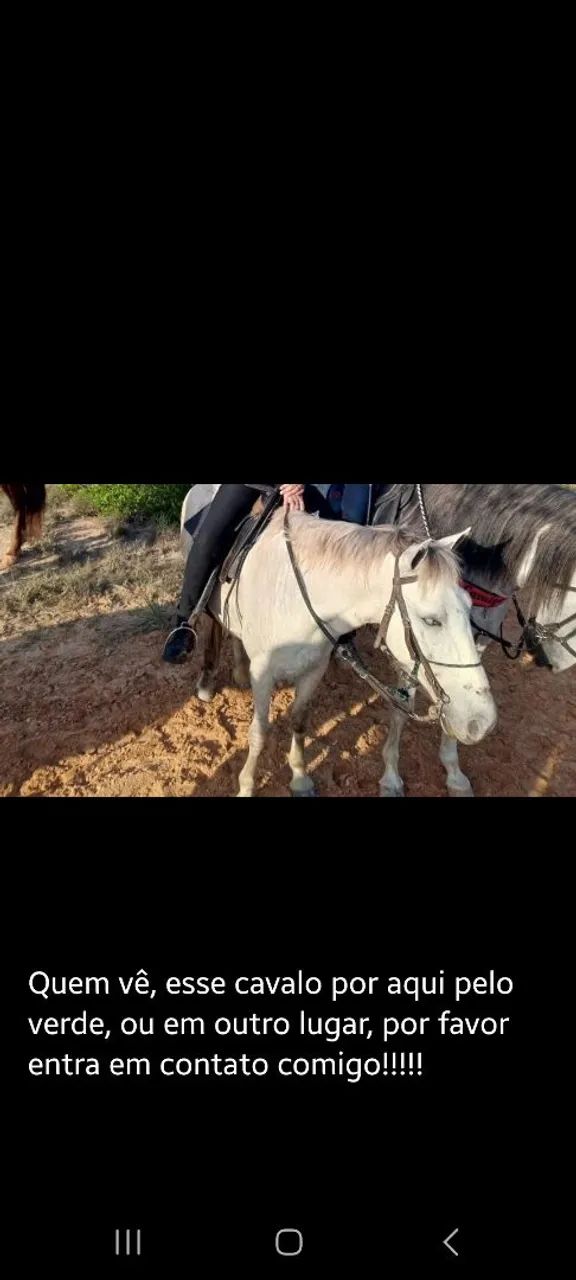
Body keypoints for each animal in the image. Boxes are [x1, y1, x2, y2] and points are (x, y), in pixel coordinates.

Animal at [187, 508, 497, 797]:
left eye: (470, 606)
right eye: (431, 620)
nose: (483, 722)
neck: (295, 595)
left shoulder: (314, 669)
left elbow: (299, 722)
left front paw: (300, 778)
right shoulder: (263, 674)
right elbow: (260, 732)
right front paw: (246, 785)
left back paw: (239, 670)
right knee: (214, 627)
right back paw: (206, 683)